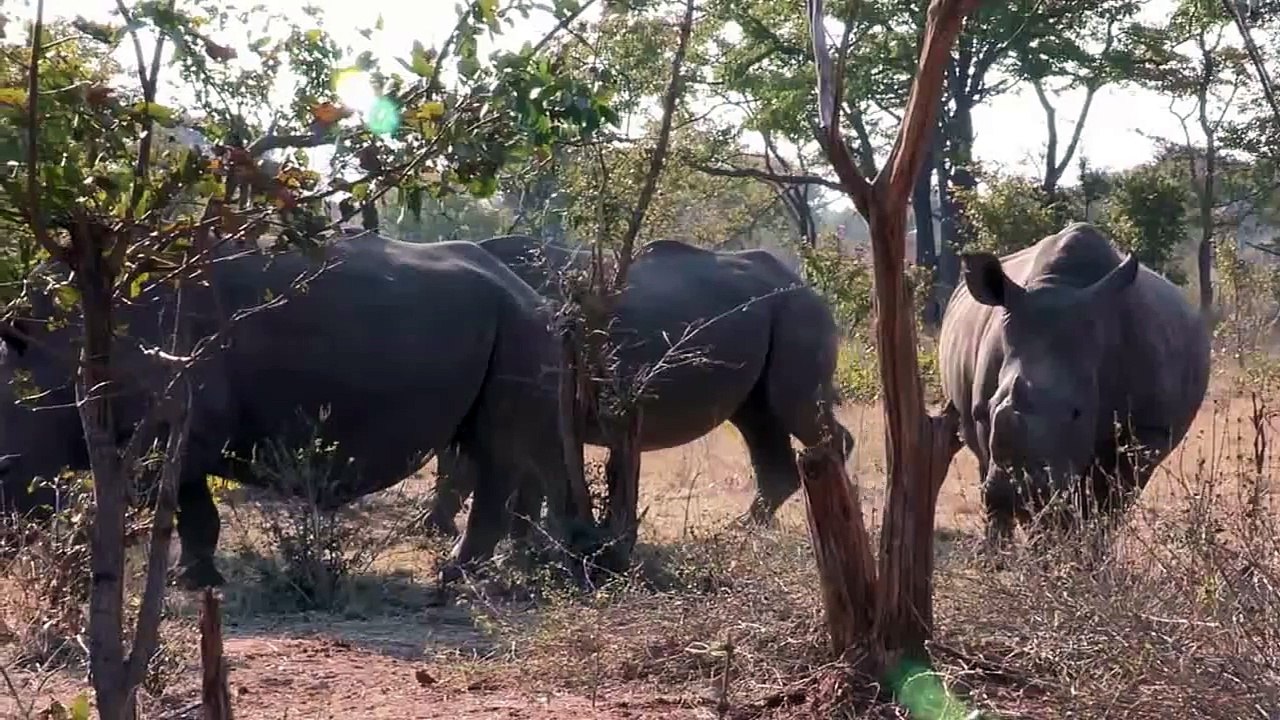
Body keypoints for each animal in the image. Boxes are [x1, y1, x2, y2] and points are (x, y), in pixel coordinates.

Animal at [0, 231, 573, 588]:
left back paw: (455, 577)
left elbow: (177, 492)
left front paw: (186, 578)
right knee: (486, 445)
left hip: (519, 321)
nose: (6, 546)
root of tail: (535, 293)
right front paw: (196, 581)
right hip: (514, 322)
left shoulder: (182, 417)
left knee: (496, 451)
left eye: (5, 468)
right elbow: (192, 503)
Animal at [425, 234, 854, 538]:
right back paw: (744, 530)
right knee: (758, 417)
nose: (434, 530)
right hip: (775, 315)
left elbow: (480, 461)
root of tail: (808, 286)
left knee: (790, 407)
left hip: (797, 312)